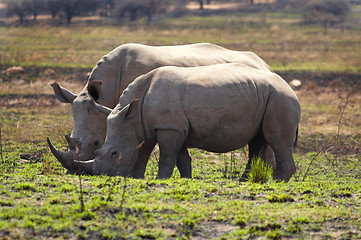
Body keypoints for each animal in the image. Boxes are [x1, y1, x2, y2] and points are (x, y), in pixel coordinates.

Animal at [53, 63, 300, 182]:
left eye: (112, 153)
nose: (101, 175)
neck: (130, 114)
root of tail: (289, 87)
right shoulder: (165, 127)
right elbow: (174, 157)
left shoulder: (168, 128)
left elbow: (166, 156)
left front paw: (160, 179)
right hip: (264, 96)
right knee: (257, 141)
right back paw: (244, 181)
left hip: (280, 98)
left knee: (276, 141)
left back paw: (277, 182)